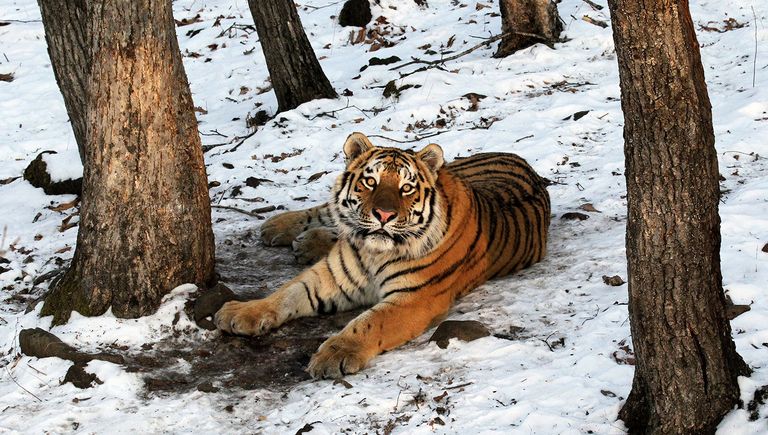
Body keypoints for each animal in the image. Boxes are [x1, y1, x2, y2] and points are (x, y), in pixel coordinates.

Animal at [215, 132, 551, 379]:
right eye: (370, 181)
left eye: (406, 188)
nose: (384, 215)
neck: (373, 252)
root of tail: (516, 157)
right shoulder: (330, 276)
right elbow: (285, 294)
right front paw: (240, 313)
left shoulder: (415, 297)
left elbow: (369, 322)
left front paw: (335, 354)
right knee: (325, 212)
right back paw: (279, 227)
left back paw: (305, 241)